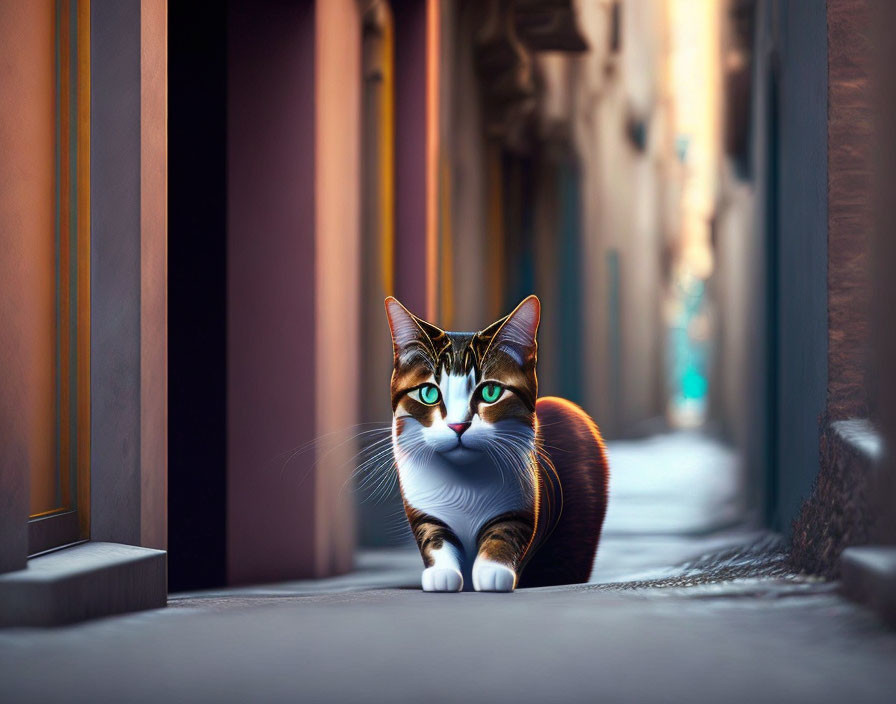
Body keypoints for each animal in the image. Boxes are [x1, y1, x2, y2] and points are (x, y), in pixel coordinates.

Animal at [384, 294, 608, 592]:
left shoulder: (523, 501)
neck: (464, 482)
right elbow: (434, 536)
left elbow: (505, 533)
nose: (458, 426)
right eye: (429, 393)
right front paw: (441, 574)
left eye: (491, 392)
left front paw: (492, 572)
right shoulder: (423, 509)